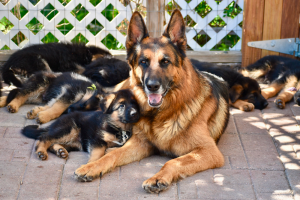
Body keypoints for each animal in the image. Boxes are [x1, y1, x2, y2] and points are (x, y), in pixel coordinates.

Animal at [73, 9, 230, 194]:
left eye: (165, 61)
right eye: (143, 62)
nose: (152, 86)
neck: (161, 114)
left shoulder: (208, 151)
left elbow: (173, 161)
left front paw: (157, 178)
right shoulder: (140, 142)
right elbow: (112, 154)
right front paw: (92, 166)